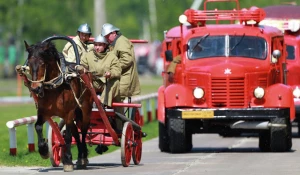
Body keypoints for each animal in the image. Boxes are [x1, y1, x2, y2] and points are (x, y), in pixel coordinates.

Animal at [22, 39, 92, 172]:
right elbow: (38, 127)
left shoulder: (69, 112)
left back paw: (82, 156)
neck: (55, 86)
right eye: (29, 64)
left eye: (42, 63)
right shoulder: (43, 112)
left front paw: (68, 160)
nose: (35, 88)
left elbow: (68, 136)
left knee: (83, 131)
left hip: (85, 110)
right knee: (76, 132)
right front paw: (43, 149)